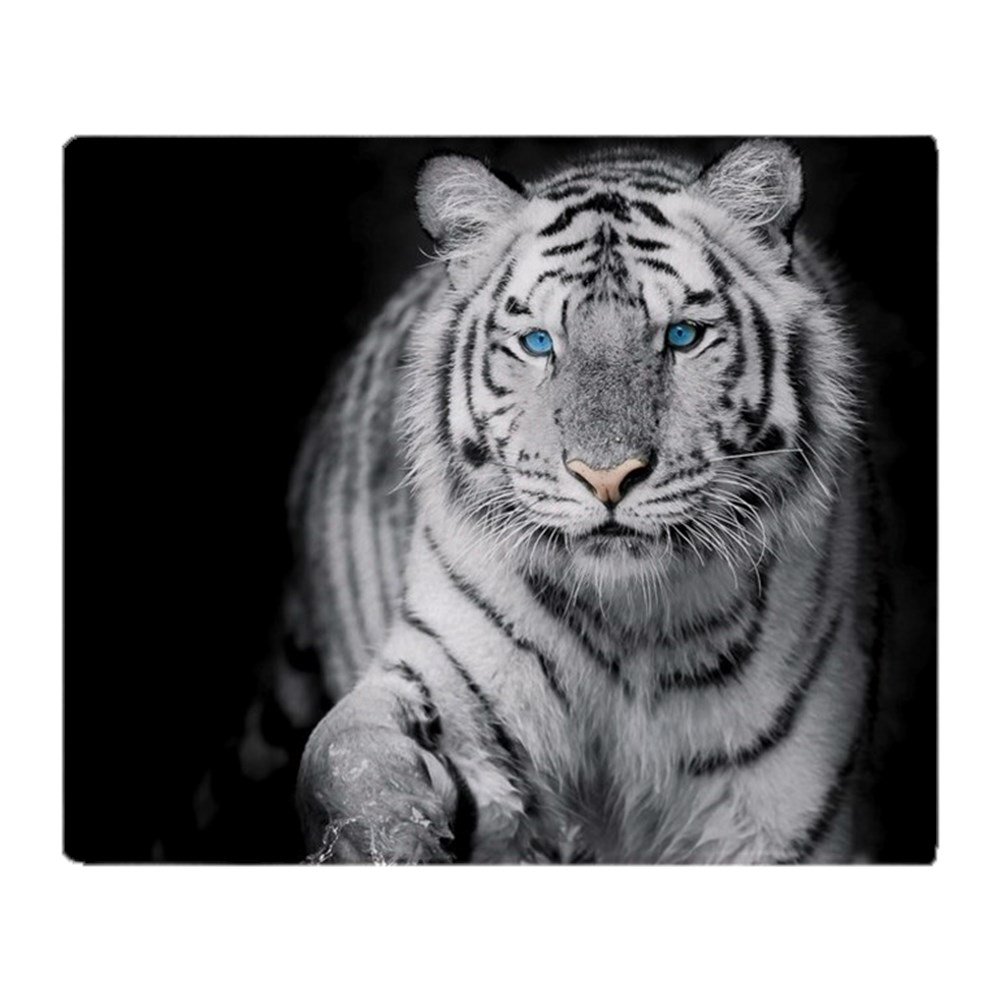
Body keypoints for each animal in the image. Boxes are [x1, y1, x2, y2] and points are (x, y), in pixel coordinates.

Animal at [291, 139, 884, 864]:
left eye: (682, 336)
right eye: (539, 343)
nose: (606, 478)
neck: (630, 630)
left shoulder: (783, 810)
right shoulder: (445, 675)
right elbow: (344, 754)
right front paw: (390, 834)